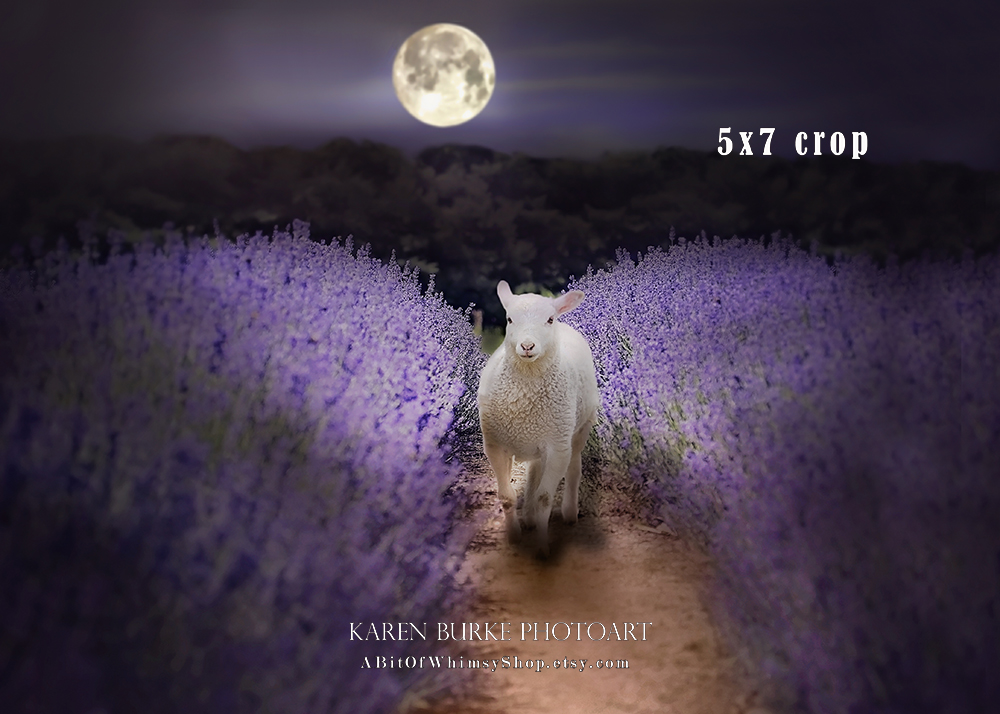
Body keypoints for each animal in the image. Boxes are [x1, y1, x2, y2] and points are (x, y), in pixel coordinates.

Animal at [477, 280, 599, 557]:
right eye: (509, 319)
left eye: (549, 320)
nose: (527, 346)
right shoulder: (495, 445)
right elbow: (507, 497)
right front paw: (513, 537)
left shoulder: (558, 447)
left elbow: (545, 499)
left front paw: (542, 550)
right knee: (534, 469)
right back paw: (530, 518)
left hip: (578, 429)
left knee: (574, 468)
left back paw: (569, 513)